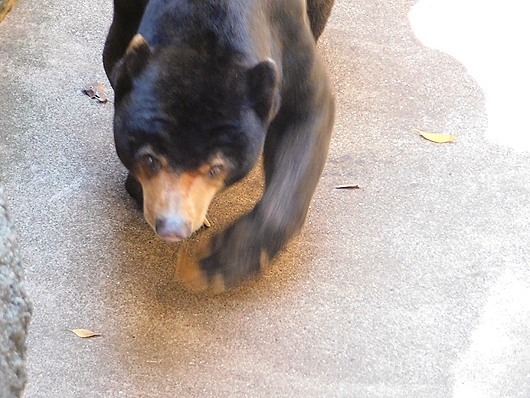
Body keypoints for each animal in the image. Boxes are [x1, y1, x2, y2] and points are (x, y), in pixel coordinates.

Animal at [103, 0, 334, 292]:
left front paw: (216, 265)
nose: (173, 228)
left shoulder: (286, 26)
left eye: (215, 168)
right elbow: (115, 55)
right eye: (149, 159)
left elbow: (308, 108)